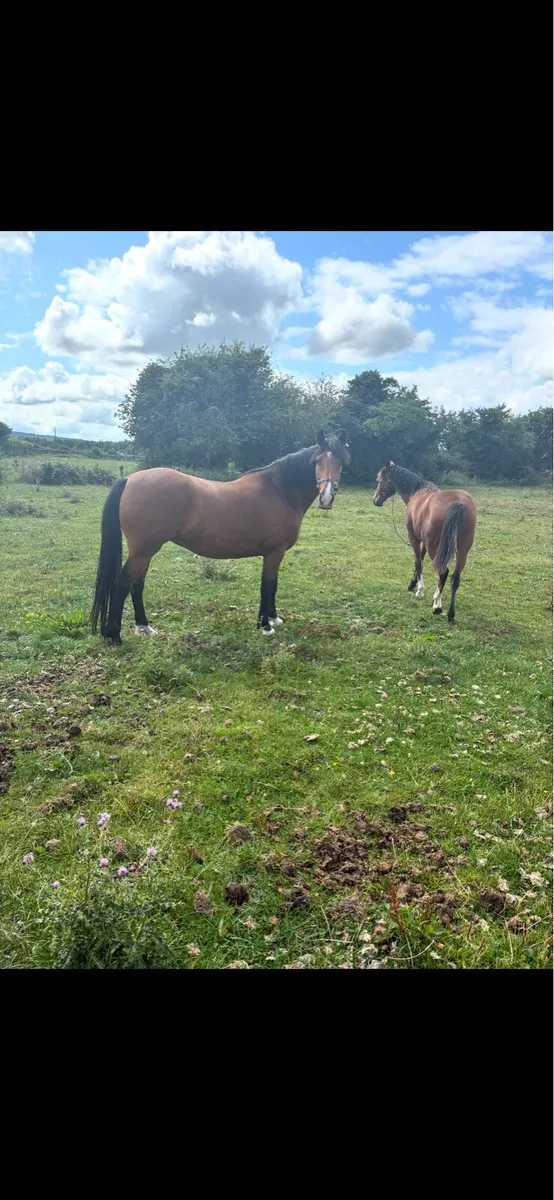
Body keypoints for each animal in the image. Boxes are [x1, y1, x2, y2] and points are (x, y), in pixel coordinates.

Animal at [90, 430, 351, 645]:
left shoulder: (274, 555)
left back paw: (144, 628)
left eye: (340, 462)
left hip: (145, 552)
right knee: (122, 585)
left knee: (137, 586)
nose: (326, 497)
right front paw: (265, 626)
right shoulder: (273, 553)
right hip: (143, 552)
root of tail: (129, 479)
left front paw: (274, 619)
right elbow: (267, 587)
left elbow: (274, 586)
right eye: (317, 461)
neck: (279, 492)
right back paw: (114, 636)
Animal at [372, 460, 477, 624]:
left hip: (435, 547)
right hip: (462, 551)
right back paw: (450, 614)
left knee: (443, 572)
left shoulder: (413, 537)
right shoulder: (424, 542)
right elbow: (420, 558)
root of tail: (458, 503)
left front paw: (419, 590)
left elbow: (417, 561)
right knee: (455, 578)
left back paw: (437, 605)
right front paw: (413, 583)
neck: (418, 491)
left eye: (379, 480)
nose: (375, 500)